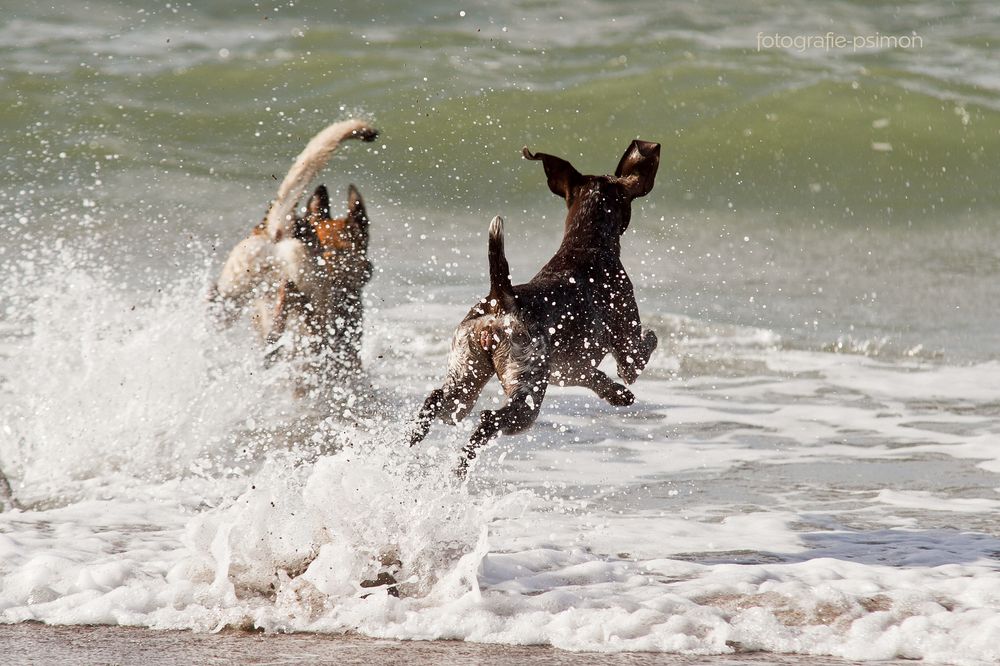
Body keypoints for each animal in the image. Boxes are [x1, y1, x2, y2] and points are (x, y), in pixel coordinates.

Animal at [410, 137, 660, 470]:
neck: (585, 244)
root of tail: (499, 300)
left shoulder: (570, 371)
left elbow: (596, 379)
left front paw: (617, 395)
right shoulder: (628, 350)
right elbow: (642, 349)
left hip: (464, 383)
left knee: (437, 401)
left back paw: (408, 442)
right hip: (526, 391)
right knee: (489, 420)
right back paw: (460, 467)